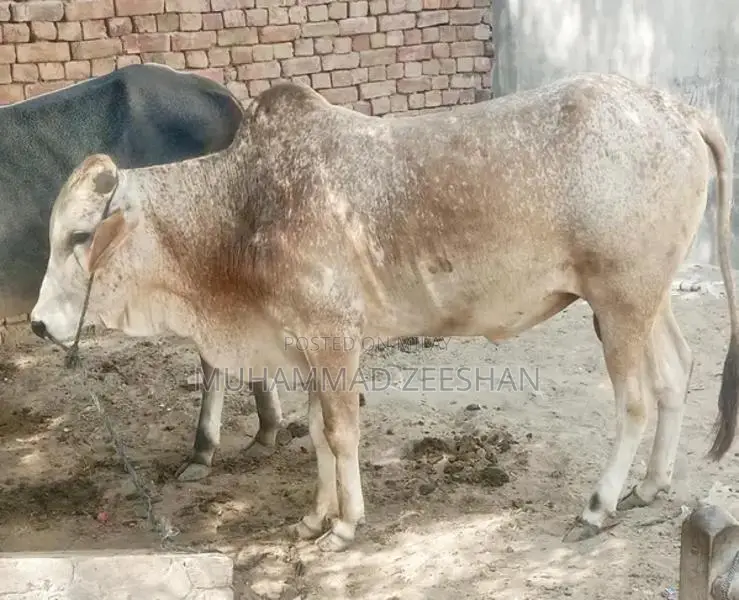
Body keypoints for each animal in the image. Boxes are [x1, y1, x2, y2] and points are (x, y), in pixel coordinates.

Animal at [28, 72, 738, 552]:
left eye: (81, 237)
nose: (38, 323)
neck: (240, 208)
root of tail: (678, 109)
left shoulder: (335, 338)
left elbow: (342, 433)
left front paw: (345, 523)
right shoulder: (303, 345)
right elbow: (317, 433)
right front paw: (314, 517)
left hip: (619, 300)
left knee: (634, 400)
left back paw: (599, 504)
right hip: (644, 297)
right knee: (675, 372)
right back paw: (650, 487)